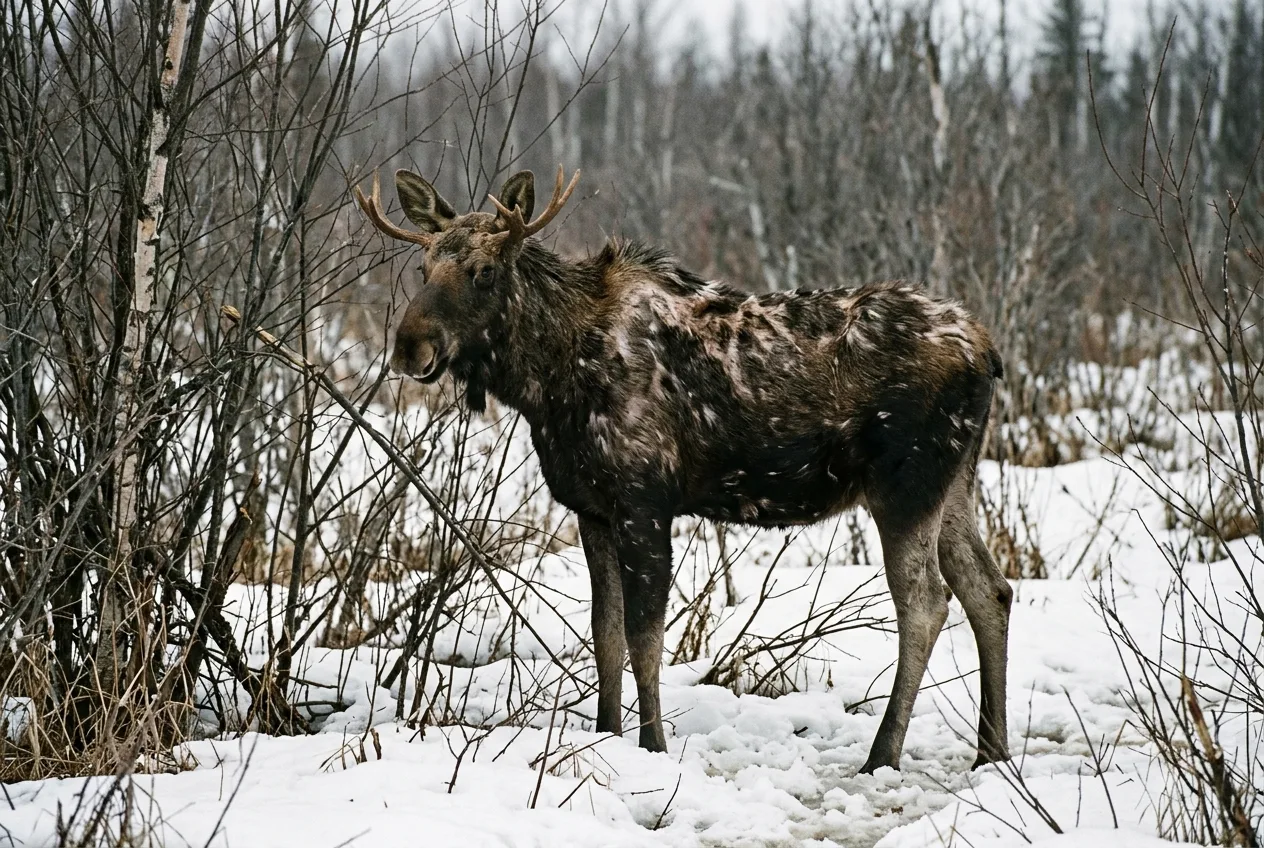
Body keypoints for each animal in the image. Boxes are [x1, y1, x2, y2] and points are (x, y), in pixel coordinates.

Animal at [354, 165, 1012, 773]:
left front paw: (652, 745)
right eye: (422, 268)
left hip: (905, 485)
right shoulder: (591, 508)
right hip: (954, 484)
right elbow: (605, 634)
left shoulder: (644, 500)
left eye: (484, 271)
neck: (546, 382)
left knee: (926, 603)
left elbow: (645, 637)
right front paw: (606, 734)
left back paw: (884, 754)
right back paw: (992, 750)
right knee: (992, 590)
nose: (409, 347)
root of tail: (989, 351)